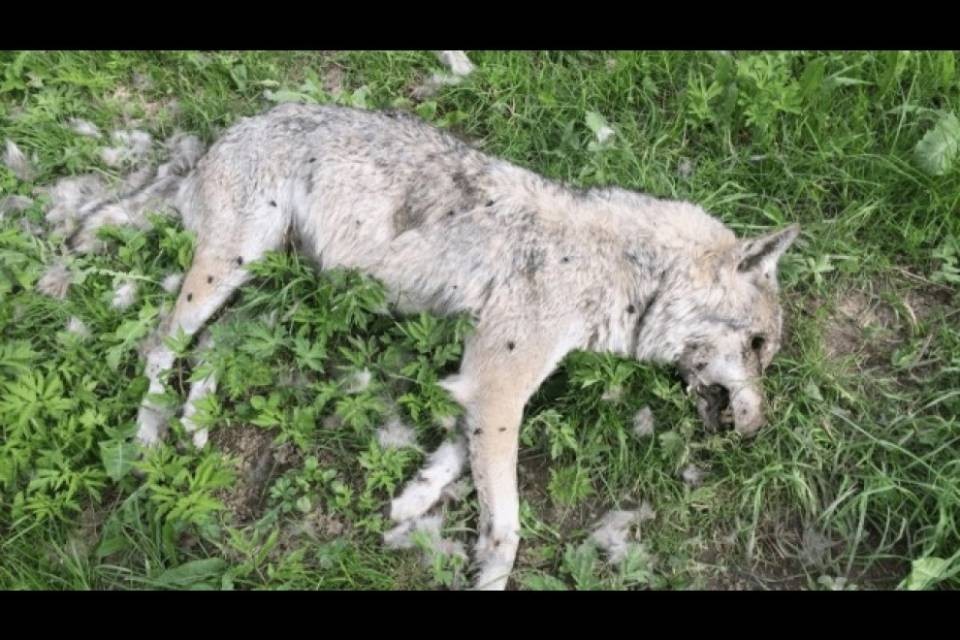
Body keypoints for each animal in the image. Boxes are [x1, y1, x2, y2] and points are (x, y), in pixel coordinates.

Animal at [57, 101, 800, 590]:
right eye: (760, 347)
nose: (757, 427)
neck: (628, 271)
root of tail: (217, 138)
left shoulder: (476, 386)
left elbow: (452, 457)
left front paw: (411, 504)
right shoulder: (497, 387)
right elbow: (507, 522)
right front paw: (488, 573)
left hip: (262, 291)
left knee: (212, 348)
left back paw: (196, 421)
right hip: (230, 269)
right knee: (160, 345)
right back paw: (150, 436)